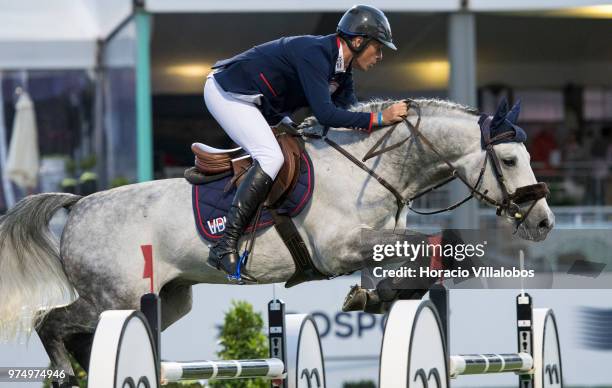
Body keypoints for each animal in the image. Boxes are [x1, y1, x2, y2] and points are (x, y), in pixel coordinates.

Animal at [0, 98, 556, 384]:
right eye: (510, 160)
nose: (544, 222)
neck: (370, 168)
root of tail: (78, 205)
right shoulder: (338, 246)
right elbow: (434, 243)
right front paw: (370, 294)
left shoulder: (372, 241)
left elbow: (427, 252)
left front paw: (374, 296)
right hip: (112, 297)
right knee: (52, 323)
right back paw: (63, 373)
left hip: (164, 300)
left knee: (85, 335)